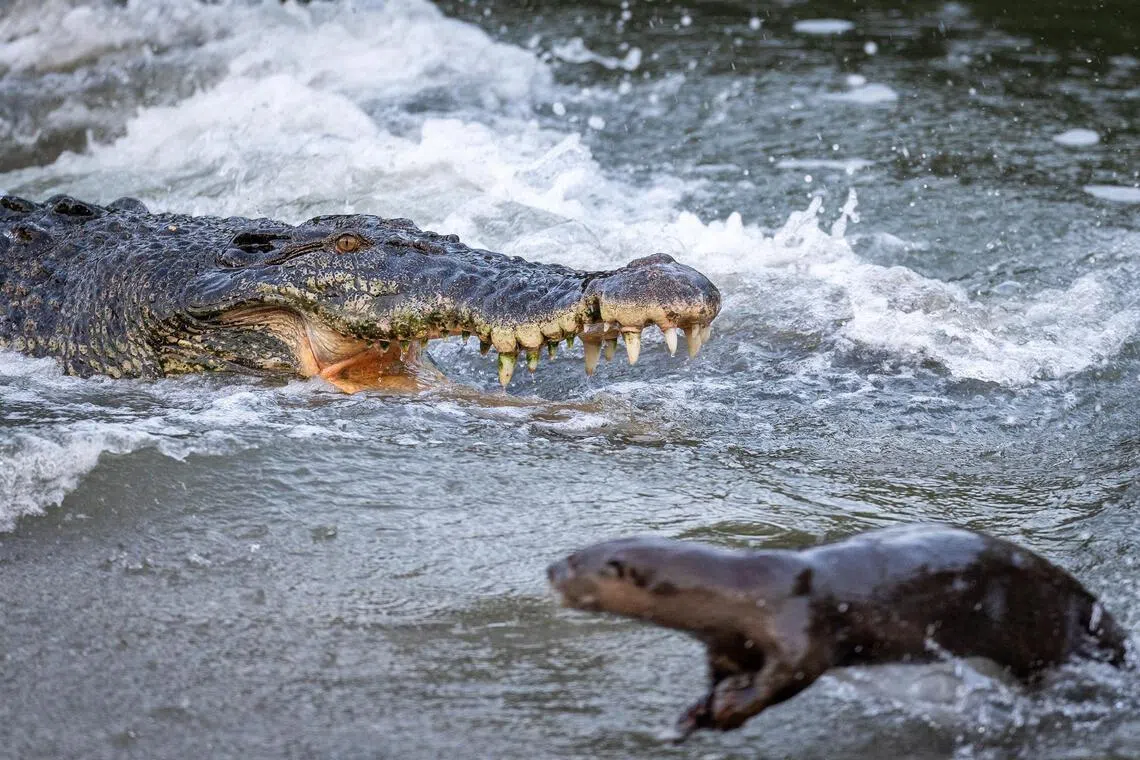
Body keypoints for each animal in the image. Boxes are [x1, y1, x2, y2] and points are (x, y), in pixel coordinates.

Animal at [547, 524, 1130, 741]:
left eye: (575, 562)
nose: (550, 569)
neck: (743, 592)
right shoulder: (726, 648)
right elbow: (718, 678)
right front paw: (694, 714)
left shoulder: (799, 627)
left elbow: (791, 676)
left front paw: (732, 712)